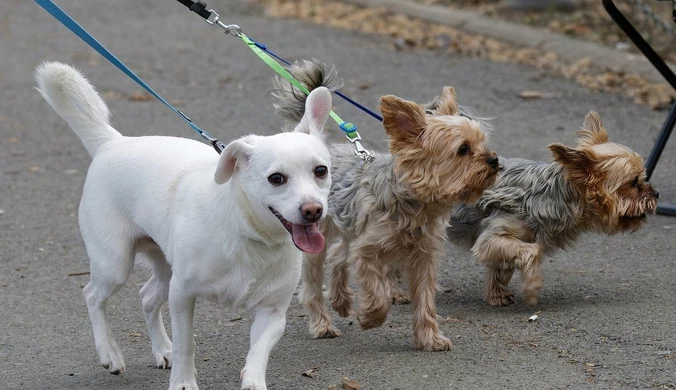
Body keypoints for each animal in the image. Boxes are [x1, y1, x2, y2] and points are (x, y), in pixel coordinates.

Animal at [36, 62, 332, 388]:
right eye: (276, 178)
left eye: (321, 171)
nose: (313, 210)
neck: (247, 232)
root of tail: (112, 142)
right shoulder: (182, 295)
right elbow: (186, 343)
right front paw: (182, 382)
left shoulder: (272, 313)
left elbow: (257, 354)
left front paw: (253, 381)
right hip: (115, 265)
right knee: (92, 295)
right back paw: (110, 353)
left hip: (165, 269)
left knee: (147, 297)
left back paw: (161, 349)